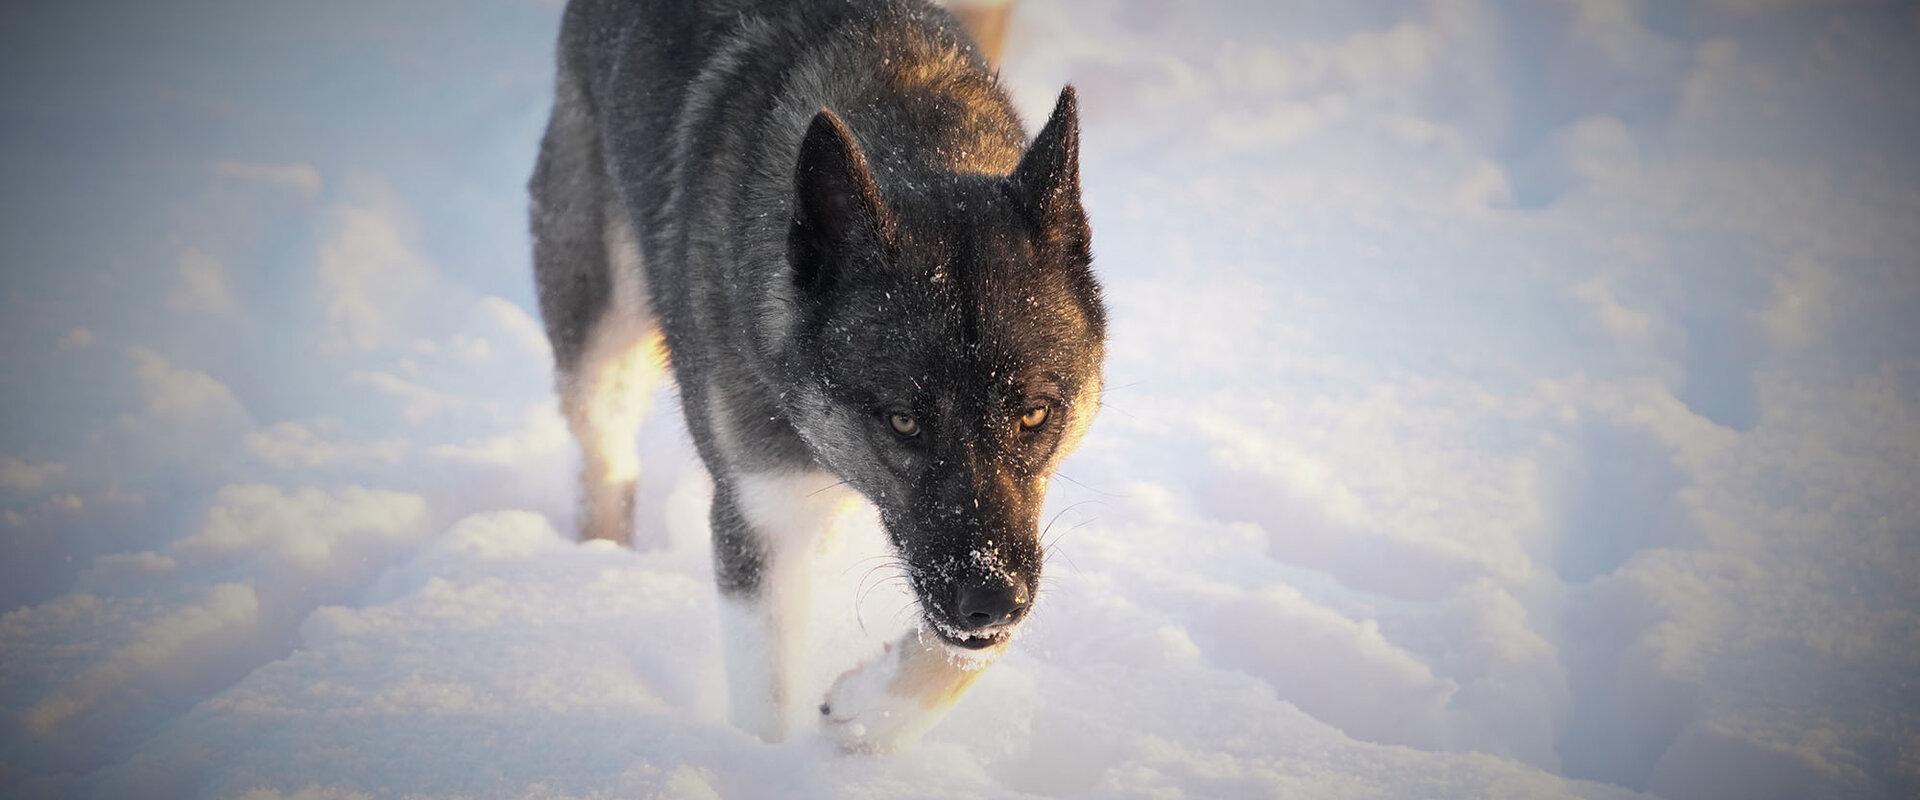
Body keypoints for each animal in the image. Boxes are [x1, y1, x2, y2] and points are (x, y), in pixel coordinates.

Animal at [529, 0, 1113, 748]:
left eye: (1035, 413)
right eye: (902, 420)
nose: (987, 599)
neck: (913, 139)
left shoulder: (1013, 543)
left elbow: (979, 644)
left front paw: (872, 708)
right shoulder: (762, 513)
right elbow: (768, 695)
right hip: (600, 325)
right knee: (603, 455)